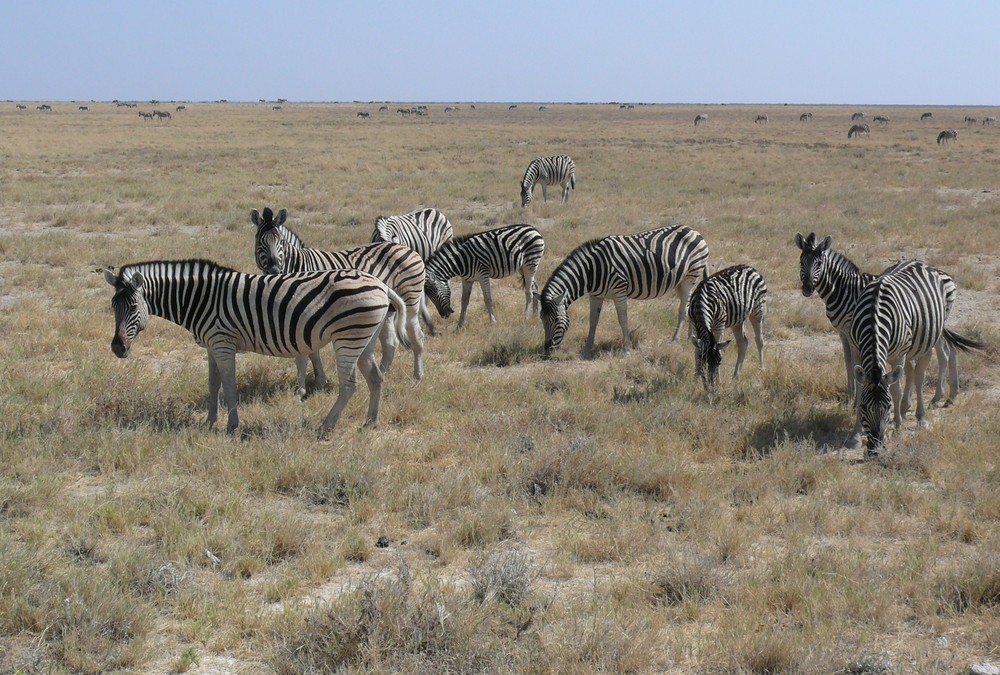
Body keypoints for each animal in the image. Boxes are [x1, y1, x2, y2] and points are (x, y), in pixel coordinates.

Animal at [98, 256, 402, 436]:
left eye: (133, 307)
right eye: (113, 306)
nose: (117, 348)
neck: (199, 299)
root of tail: (380, 284)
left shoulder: (223, 342)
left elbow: (229, 384)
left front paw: (232, 425)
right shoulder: (211, 345)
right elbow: (213, 384)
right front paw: (209, 422)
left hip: (348, 337)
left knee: (350, 385)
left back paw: (325, 426)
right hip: (364, 339)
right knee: (376, 378)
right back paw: (371, 422)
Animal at [252, 206, 428, 382]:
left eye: (280, 241)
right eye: (259, 241)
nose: (274, 270)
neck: (298, 267)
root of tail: (404, 247)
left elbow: (311, 351)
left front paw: (319, 380)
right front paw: (319, 379)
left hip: (410, 300)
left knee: (417, 335)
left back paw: (417, 377)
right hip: (388, 308)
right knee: (390, 343)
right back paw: (382, 375)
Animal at [540, 224, 712, 360]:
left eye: (556, 320)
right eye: (542, 320)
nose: (547, 351)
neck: (592, 270)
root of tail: (693, 230)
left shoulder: (619, 290)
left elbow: (622, 319)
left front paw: (626, 349)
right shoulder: (595, 295)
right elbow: (593, 319)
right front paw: (588, 347)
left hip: (690, 276)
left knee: (683, 309)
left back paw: (675, 340)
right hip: (680, 280)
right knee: (688, 306)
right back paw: (690, 337)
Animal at [848, 258, 988, 454]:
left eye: (888, 407)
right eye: (863, 407)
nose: (876, 449)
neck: (874, 318)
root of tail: (919, 262)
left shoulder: (898, 354)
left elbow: (896, 390)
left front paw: (898, 428)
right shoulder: (856, 350)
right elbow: (861, 390)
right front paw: (855, 435)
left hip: (928, 339)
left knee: (921, 374)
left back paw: (922, 416)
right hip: (912, 345)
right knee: (912, 370)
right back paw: (909, 407)